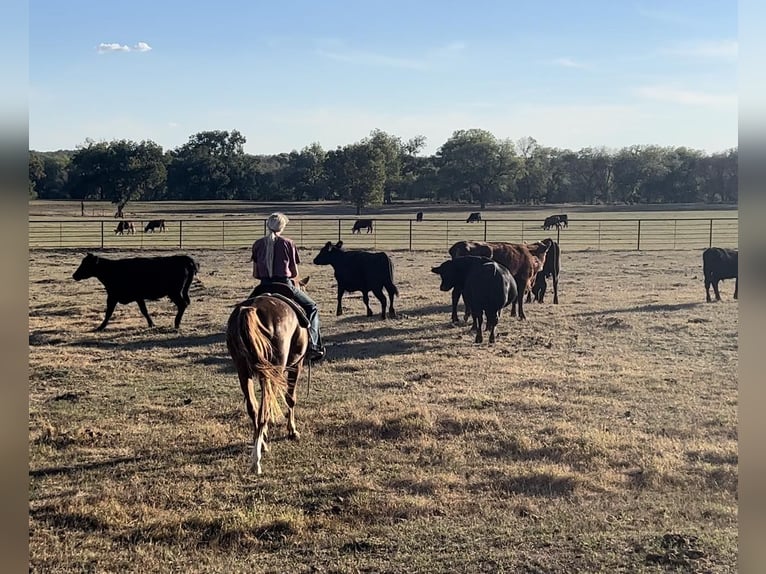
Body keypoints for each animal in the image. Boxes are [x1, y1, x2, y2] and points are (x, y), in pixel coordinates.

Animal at [71, 253, 201, 330]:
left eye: (85, 264)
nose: (74, 275)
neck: (112, 270)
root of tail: (183, 258)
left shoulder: (113, 296)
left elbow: (109, 312)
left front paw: (100, 327)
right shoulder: (137, 297)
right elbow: (144, 311)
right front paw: (151, 324)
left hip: (174, 292)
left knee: (182, 304)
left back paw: (176, 323)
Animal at [228, 276, 312, 474]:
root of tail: (251, 309)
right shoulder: (296, 365)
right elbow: (291, 398)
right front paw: (292, 431)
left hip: (243, 371)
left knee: (253, 408)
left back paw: (261, 444)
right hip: (272, 372)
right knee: (264, 409)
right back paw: (256, 460)